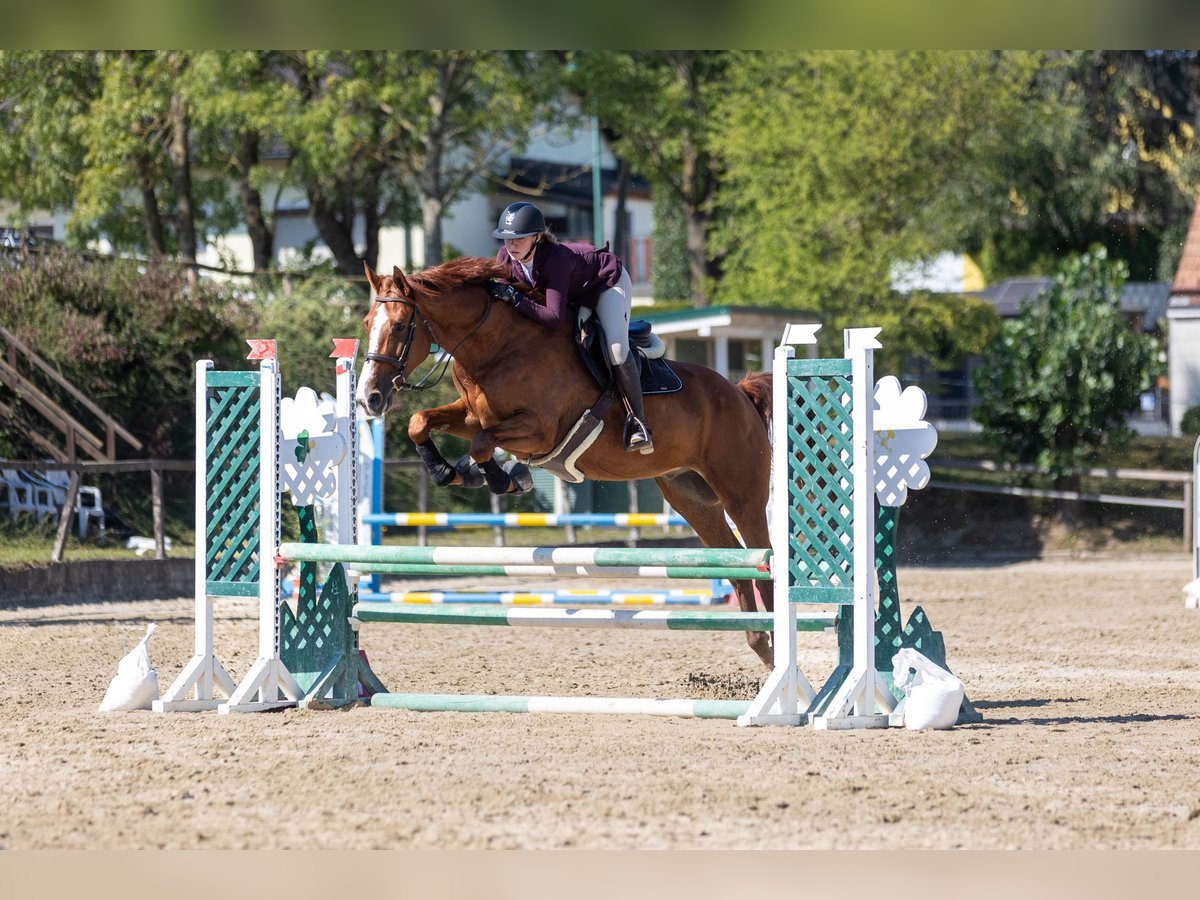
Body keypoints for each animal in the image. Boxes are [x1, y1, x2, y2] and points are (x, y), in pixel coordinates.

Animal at [356, 258, 776, 666]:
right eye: (366, 324)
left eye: (399, 326)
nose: (368, 398)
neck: (497, 348)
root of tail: (739, 393)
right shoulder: (473, 415)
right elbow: (420, 422)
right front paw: (449, 471)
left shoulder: (539, 431)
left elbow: (482, 443)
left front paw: (503, 478)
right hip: (692, 499)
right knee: (737, 568)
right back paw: (763, 647)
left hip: (742, 498)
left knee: (764, 565)